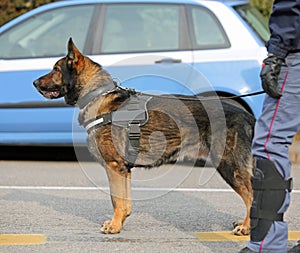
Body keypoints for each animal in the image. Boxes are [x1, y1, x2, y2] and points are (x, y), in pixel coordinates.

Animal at [34, 38, 255, 236]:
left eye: (56, 69)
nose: (34, 82)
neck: (96, 94)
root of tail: (247, 115)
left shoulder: (114, 166)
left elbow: (116, 200)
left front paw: (114, 227)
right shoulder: (123, 170)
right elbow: (125, 202)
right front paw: (120, 222)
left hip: (228, 166)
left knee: (251, 196)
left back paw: (246, 227)